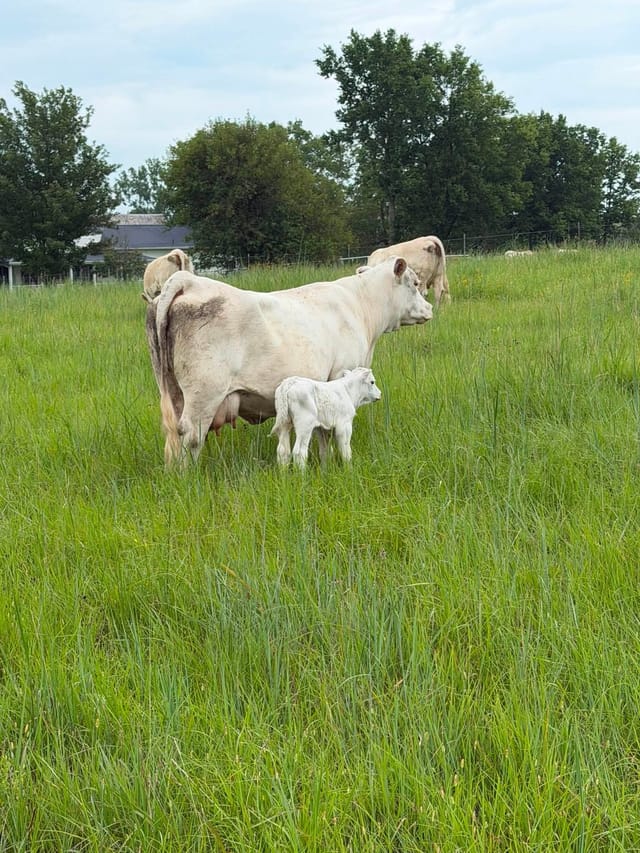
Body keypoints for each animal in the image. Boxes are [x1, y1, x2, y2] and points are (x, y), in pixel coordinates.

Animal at [147, 257, 432, 467]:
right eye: (416, 282)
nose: (429, 308)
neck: (361, 305)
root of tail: (189, 281)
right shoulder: (337, 375)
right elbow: (326, 431)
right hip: (204, 395)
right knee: (191, 437)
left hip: (173, 391)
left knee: (174, 438)